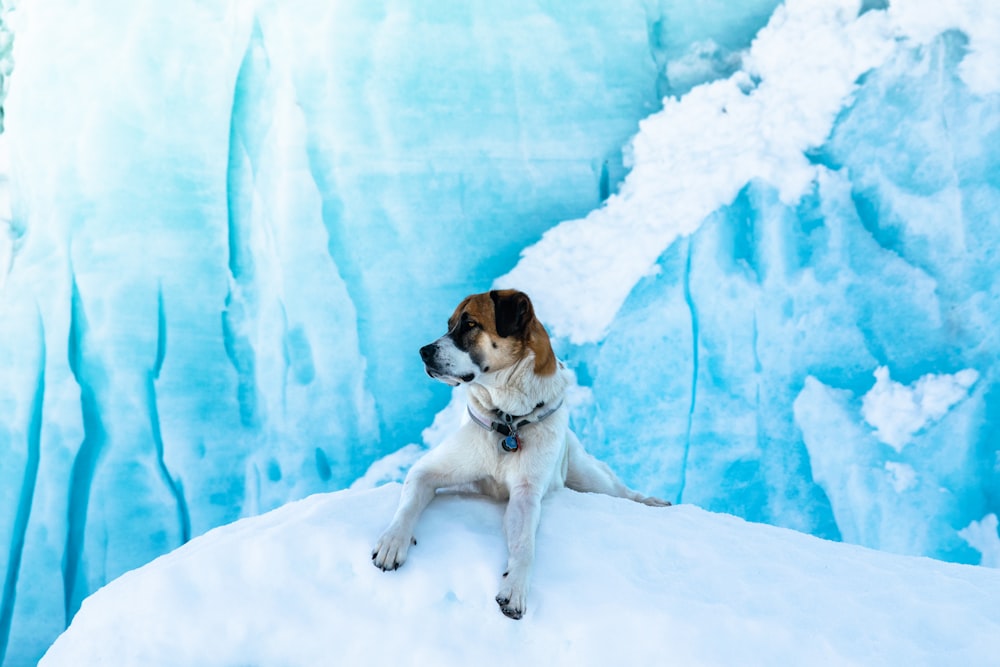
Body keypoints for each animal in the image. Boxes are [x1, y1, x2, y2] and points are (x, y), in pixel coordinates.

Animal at [372, 292, 668, 620]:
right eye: (449, 325)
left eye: (470, 324)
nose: (423, 352)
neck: (507, 420)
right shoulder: (427, 470)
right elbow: (408, 506)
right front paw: (392, 542)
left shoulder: (526, 495)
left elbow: (525, 546)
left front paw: (514, 589)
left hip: (588, 477)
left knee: (620, 491)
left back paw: (652, 502)